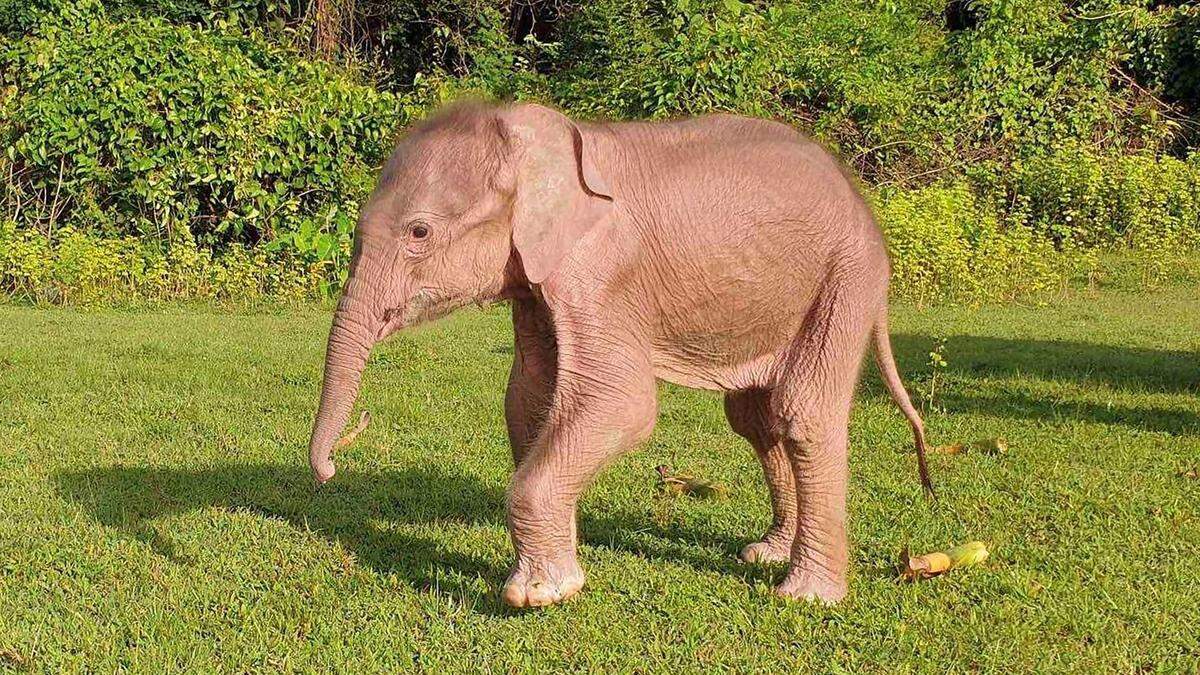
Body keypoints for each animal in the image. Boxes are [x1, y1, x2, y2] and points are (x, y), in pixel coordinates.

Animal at [304, 99, 931, 605]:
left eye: (419, 233)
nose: (331, 471)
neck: (538, 136)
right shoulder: (537, 281)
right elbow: (529, 399)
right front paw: (555, 569)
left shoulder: (602, 274)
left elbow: (622, 402)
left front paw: (539, 595)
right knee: (755, 416)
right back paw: (767, 554)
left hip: (846, 277)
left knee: (803, 413)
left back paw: (806, 595)